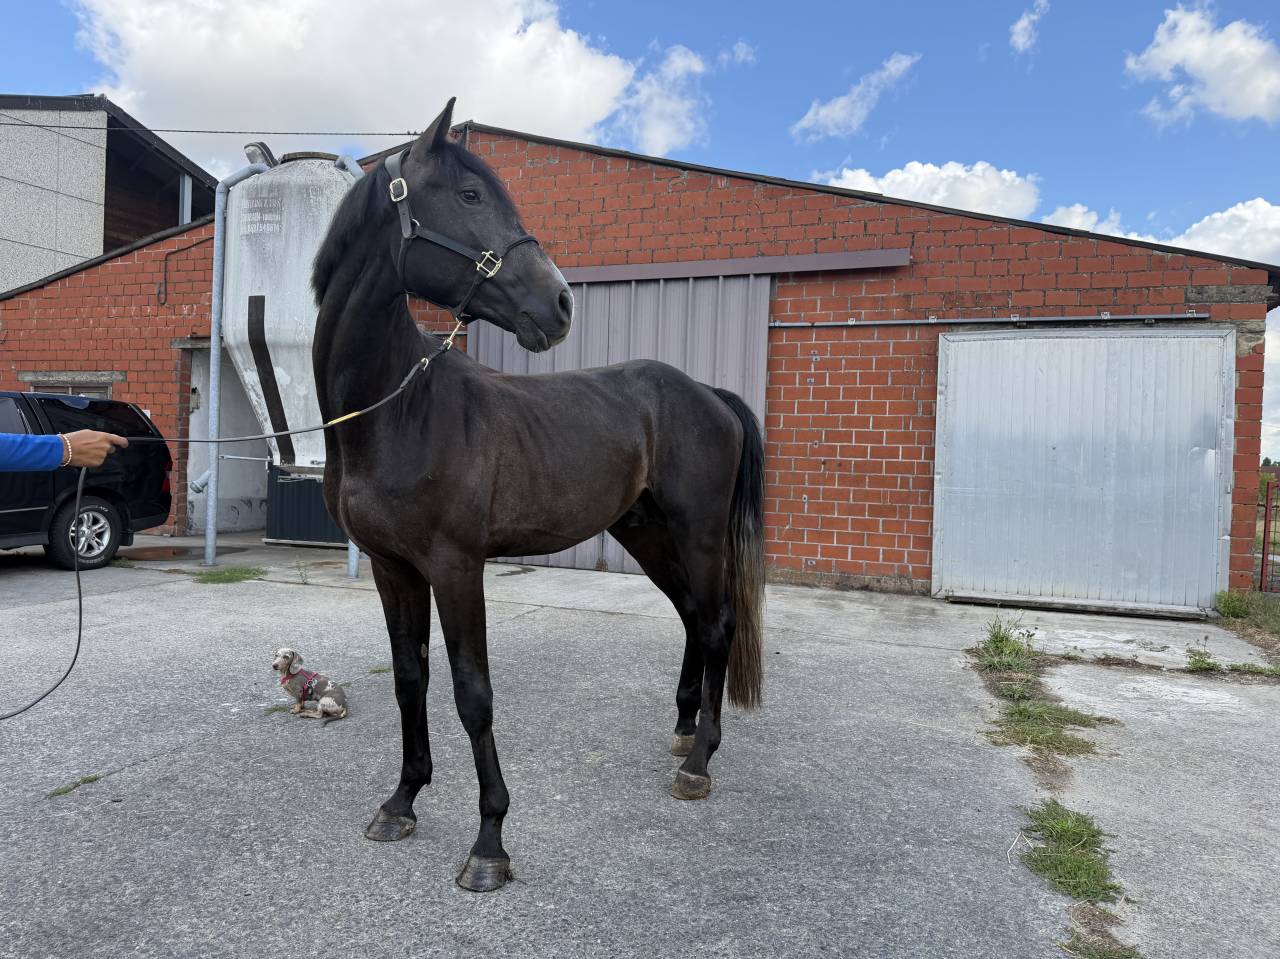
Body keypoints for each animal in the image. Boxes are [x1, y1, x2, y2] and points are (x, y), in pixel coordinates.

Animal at [310, 99, 765, 892]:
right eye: (469, 195)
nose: (558, 303)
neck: (397, 409)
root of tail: (707, 393)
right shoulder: (394, 569)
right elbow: (408, 680)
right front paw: (401, 801)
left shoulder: (457, 567)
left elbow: (473, 694)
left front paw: (489, 840)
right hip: (646, 533)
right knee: (690, 617)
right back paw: (683, 734)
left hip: (700, 532)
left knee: (715, 625)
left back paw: (701, 761)